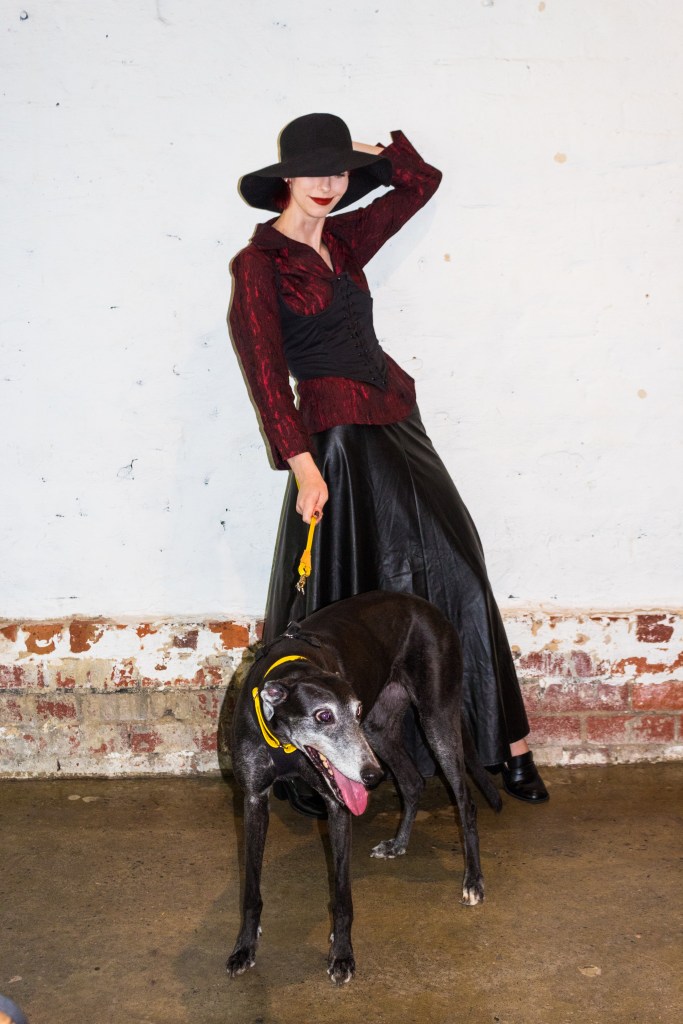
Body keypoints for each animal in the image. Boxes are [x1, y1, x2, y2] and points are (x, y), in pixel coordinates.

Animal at [226, 590, 502, 984]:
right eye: (323, 715)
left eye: (354, 711)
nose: (372, 777)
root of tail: (427, 606)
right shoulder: (253, 799)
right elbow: (250, 889)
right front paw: (244, 947)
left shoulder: (338, 804)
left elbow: (342, 896)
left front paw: (341, 955)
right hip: (379, 729)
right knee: (413, 781)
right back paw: (398, 844)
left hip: (433, 719)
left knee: (465, 802)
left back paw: (473, 881)